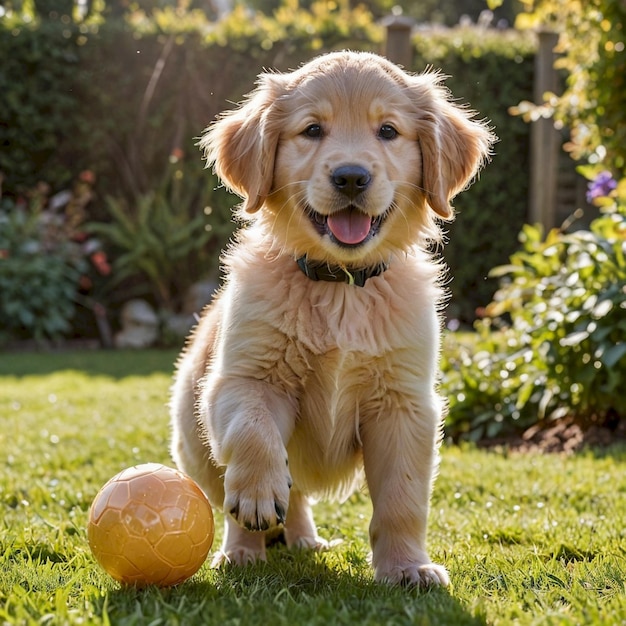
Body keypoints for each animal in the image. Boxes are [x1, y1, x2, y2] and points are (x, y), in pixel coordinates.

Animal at [169, 50, 492, 584]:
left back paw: (304, 540)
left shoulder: (404, 404)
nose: (351, 177)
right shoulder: (244, 377)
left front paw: (407, 567)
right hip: (193, 440)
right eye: (312, 130)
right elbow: (253, 430)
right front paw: (257, 494)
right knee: (262, 493)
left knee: (298, 497)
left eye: (388, 130)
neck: (341, 284)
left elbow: (402, 498)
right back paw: (243, 550)